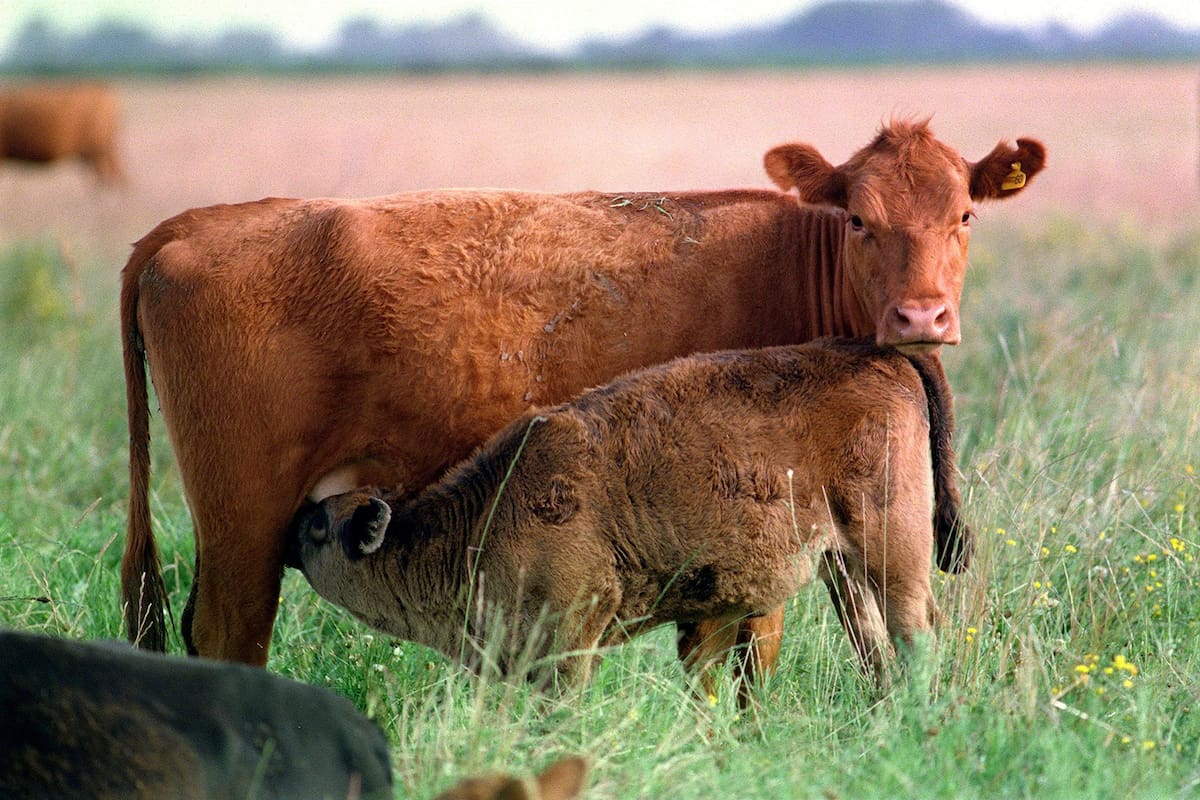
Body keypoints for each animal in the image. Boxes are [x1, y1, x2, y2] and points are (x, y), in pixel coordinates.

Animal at [286, 339, 963, 699]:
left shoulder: (569, 638)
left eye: (320, 527)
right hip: (841, 566)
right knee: (876, 647)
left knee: (918, 631)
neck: (485, 516)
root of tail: (883, 357)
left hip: (893, 555)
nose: (290, 533)